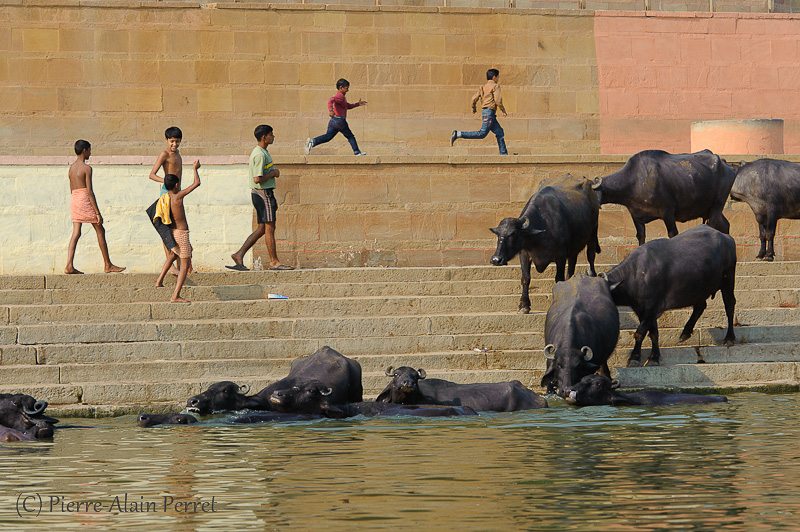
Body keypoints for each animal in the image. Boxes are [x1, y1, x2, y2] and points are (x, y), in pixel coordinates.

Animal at [488, 172, 600, 312]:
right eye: (498, 234)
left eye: (513, 234)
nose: (496, 260)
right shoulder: (524, 254)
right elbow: (525, 278)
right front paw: (524, 305)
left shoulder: (560, 256)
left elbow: (558, 279)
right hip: (573, 248)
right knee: (572, 266)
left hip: (593, 232)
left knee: (591, 254)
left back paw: (593, 274)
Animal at [592, 150, 736, 245]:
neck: (635, 181)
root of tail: (725, 165)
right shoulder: (636, 216)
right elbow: (641, 236)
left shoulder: (667, 211)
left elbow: (673, 234)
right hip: (710, 209)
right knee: (725, 225)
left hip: (718, 205)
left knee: (713, 226)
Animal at [608, 222, 736, 368]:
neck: (635, 274)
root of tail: (727, 238)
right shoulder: (643, 310)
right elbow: (653, 333)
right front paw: (654, 357)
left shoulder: (652, 308)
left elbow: (640, 332)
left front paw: (634, 358)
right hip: (698, 288)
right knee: (700, 306)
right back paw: (685, 333)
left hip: (728, 278)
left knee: (729, 305)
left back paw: (729, 338)